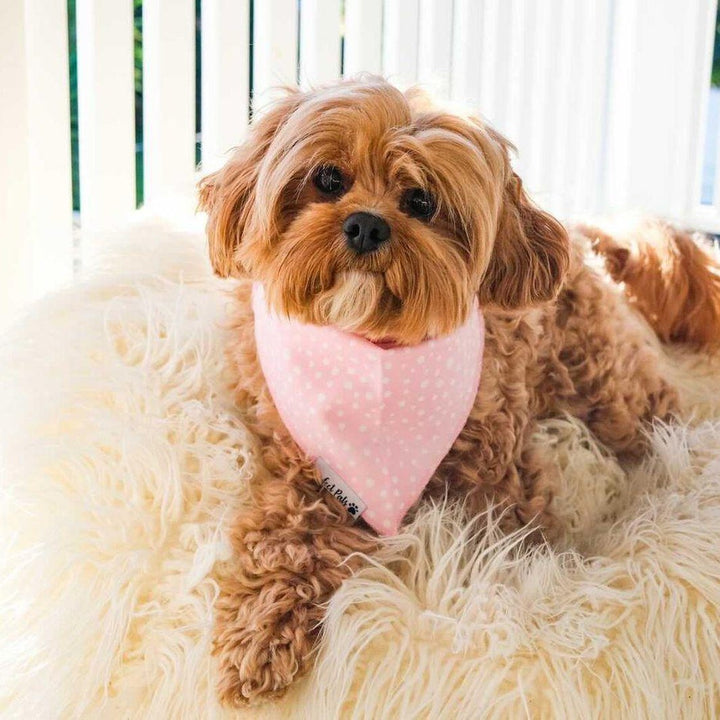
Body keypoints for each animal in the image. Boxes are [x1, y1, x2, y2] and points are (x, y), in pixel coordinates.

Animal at [197, 77, 720, 704]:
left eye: (422, 202)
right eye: (328, 178)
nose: (367, 224)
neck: (376, 354)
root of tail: (579, 233)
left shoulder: (496, 480)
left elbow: (506, 545)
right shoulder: (301, 465)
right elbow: (284, 540)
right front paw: (260, 630)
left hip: (609, 384)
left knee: (653, 417)